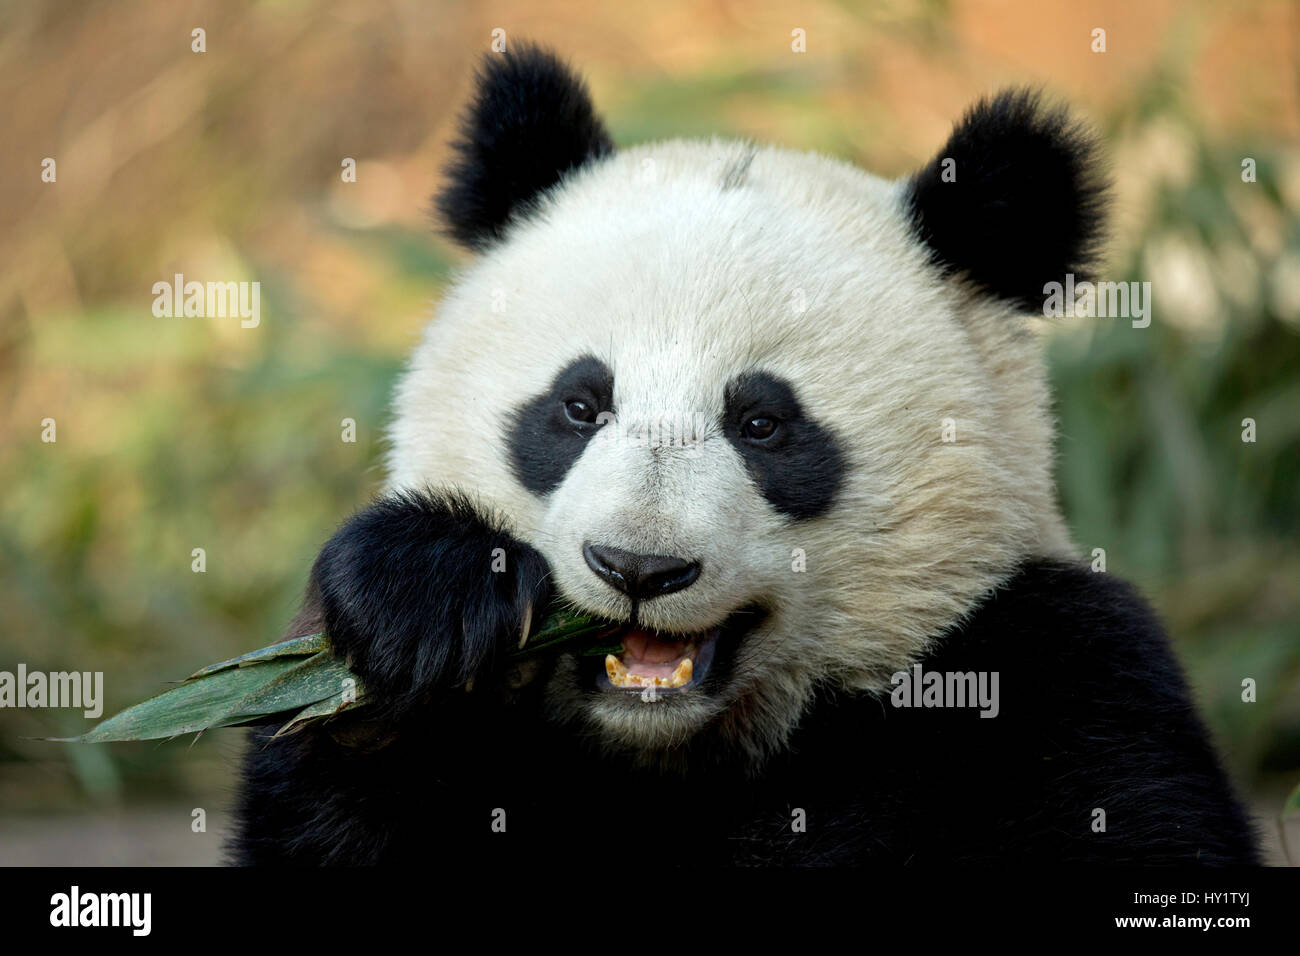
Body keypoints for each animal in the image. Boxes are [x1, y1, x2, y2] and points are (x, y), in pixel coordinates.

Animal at [231, 44, 1258, 868]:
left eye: (763, 425)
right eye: (578, 406)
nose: (638, 568)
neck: (670, 751)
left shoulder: (1050, 677)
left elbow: (1130, 814)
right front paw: (419, 617)